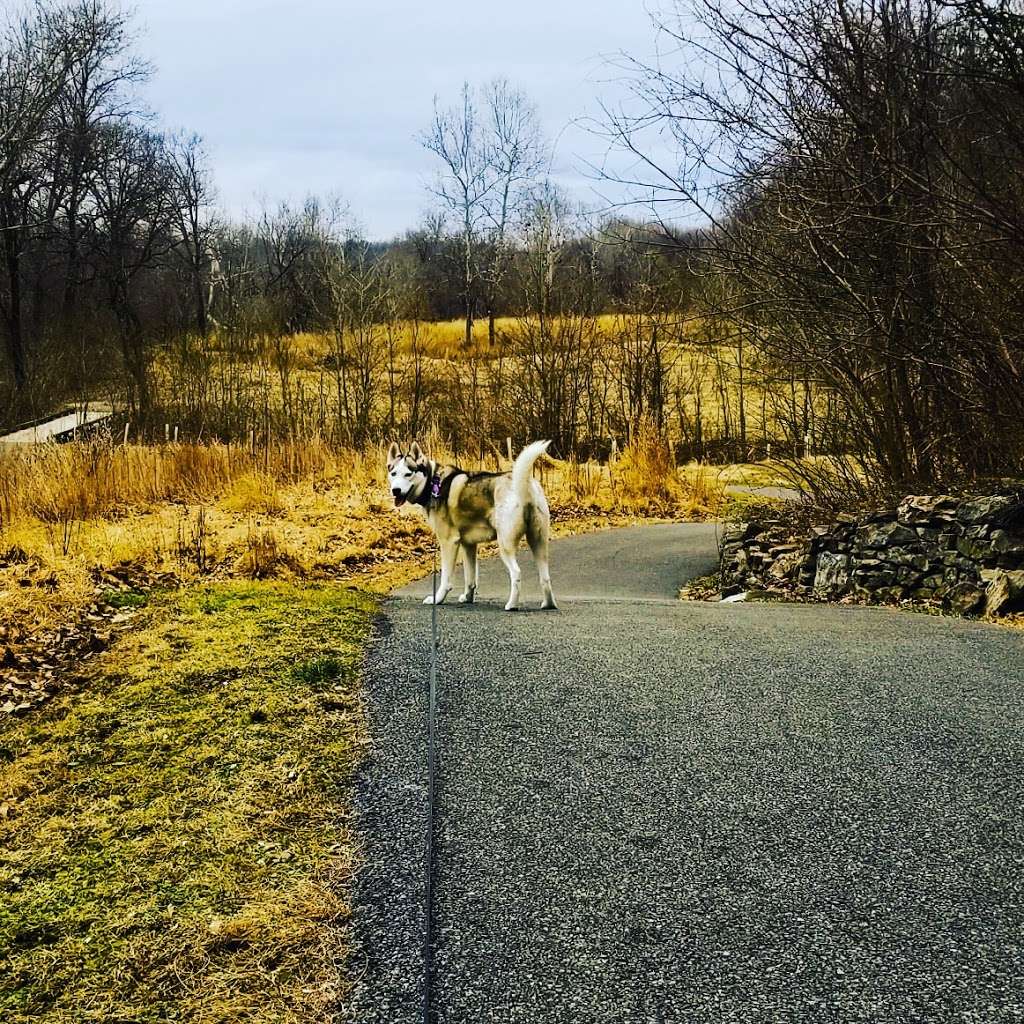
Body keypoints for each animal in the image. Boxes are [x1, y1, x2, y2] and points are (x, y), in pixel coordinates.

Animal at [385, 438, 561, 610]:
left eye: (408, 474)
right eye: (393, 473)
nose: (396, 490)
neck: (432, 482)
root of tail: (523, 484)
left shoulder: (449, 542)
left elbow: (445, 579)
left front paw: (437, 599)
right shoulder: (468, 545)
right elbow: (470, 578)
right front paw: (468, 598)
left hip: (505, 544)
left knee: (516, 573)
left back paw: (511, 605)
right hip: (538, 542)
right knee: (545, 577)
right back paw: (548, 604)